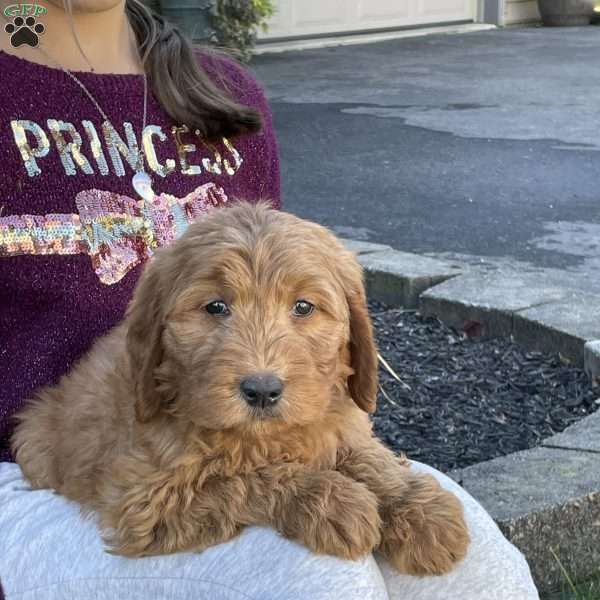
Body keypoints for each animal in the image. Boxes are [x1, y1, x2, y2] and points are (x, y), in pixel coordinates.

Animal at [10, 199, 468, 576]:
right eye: (215, 306)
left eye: (303, 306)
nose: (262, 391)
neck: (267, 435)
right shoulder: (142, 501)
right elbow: (242, 477)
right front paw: (333, 500)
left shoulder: (341, 421)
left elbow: (370, 458)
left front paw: (420, 510)